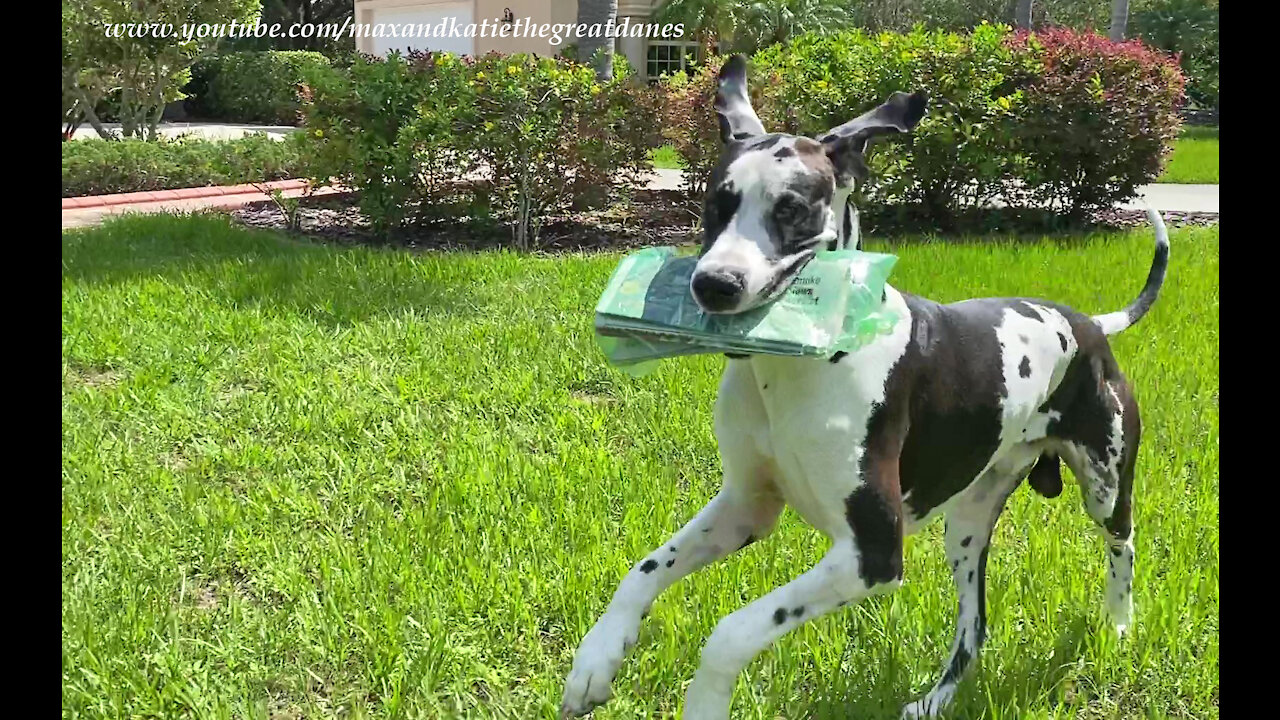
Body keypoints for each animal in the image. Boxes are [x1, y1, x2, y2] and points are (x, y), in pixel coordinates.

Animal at [560, 56, 1172, 717]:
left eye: (792, 209)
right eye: (716, 204)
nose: (714, 285)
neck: (795, 369)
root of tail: (1090, 325)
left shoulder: (872, 553)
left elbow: (731, 631)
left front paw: (704, 701)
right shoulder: (744, 506)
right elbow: (644, 569)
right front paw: (596, 659)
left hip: (1105, 489)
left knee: (1122, 548)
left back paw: (1118, 627)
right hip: (967, 525)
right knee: (974, 625)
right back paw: (934, 700)